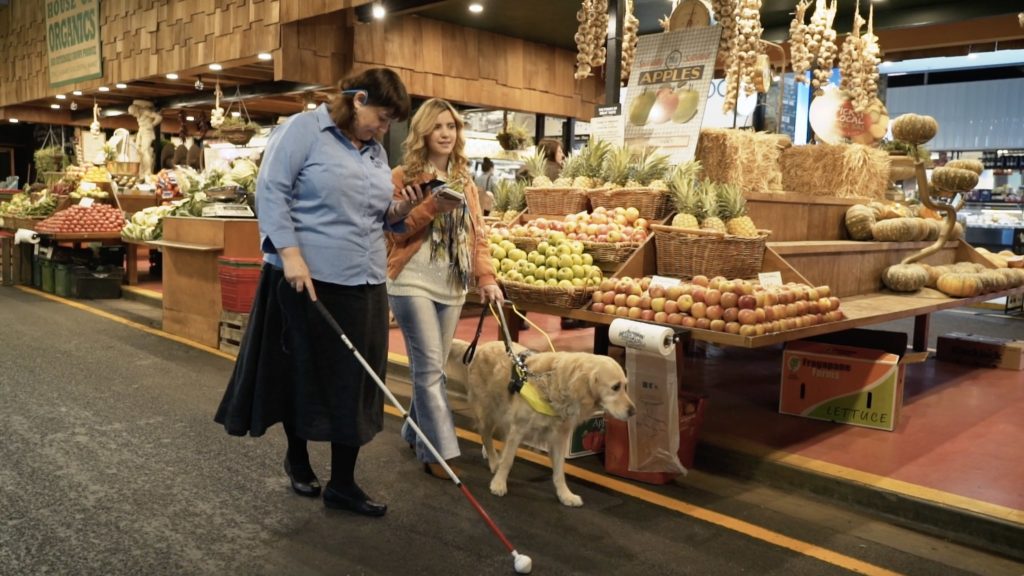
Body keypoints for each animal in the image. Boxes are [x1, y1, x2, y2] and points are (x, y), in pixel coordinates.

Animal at [450, 338, 634, 504]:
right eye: (615, 387)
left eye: (626, 386)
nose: (633, 411)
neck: (556, 384)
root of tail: (481, 347)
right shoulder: (518, 428)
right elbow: (508, 460)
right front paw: (499, 483)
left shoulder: (559, 438)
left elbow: (559, 471)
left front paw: (565, 495)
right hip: (487, 412)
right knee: (486, 437)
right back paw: (494, 462)